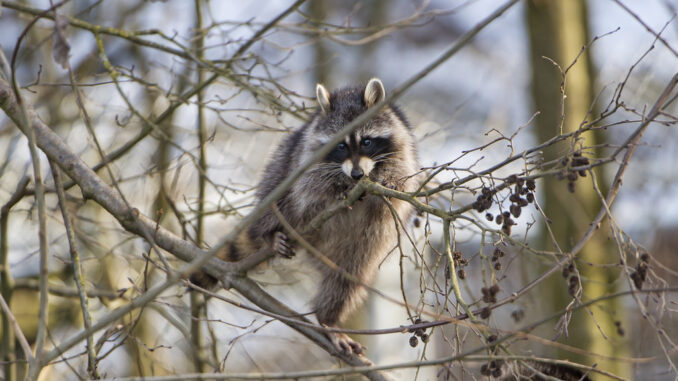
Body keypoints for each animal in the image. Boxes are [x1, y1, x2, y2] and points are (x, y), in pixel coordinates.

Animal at [191, 78, 420, 354]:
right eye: (340, 145)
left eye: (366, 141)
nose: (356, 175)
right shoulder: (307, 151)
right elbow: (310, 185)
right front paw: (339, 188)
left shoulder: (403, 147)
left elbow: (400, 186)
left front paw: (388, 181)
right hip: (280, 172)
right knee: (278, 192)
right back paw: (268, 235)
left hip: (361, 248)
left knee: (346, 279)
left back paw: (328, 317)